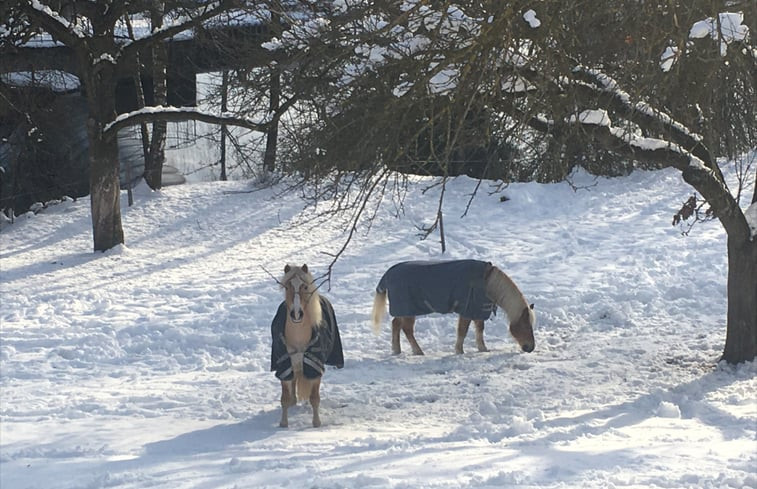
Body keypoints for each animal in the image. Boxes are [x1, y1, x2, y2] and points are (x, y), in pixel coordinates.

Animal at [270, 264, 344, 428]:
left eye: (304, 286)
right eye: (287, 286)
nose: (296, 314)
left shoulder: (314, 366)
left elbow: (314, 397)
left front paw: (316, 423)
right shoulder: (284, 366)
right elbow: (284, 397)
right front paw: (283, 423)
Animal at [370, 260, 536, 354]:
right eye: (526, 326)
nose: (530, 348)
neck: (487, 281)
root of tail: (388, 274)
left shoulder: (477, 310)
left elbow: (479, 329)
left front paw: (482, 349)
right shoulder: (467, 310)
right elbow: (463, 331)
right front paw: (459, 351)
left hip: (404, 310)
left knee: (396, 325)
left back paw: (396, 350)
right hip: (408, 310)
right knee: (407, 329)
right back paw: (418, 351)